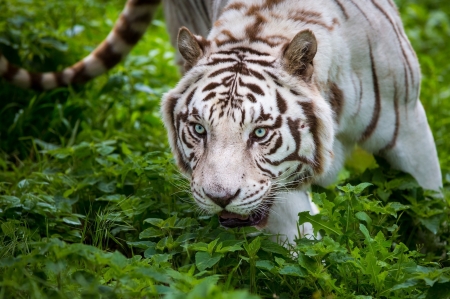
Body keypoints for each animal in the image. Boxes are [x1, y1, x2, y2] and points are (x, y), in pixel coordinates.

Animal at [0, 0, 442, 245]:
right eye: (199, 129)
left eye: (260, 133)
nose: (219, 198)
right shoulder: (274, 193)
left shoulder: (409, 125)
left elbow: (430, 209)